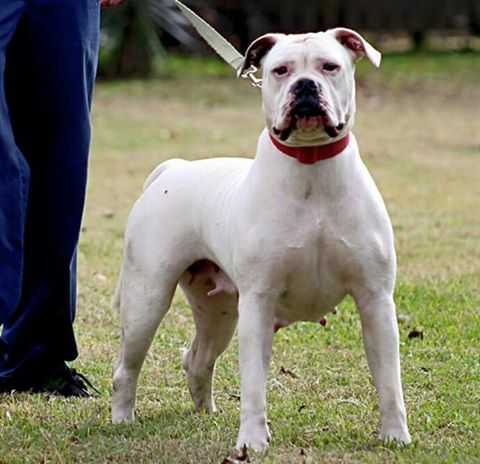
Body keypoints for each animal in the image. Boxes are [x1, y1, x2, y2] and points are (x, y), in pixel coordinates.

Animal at [110, 27, 410, 452]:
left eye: (329, 66)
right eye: (280, 70)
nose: (305, 86)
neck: (312, 168)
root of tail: (173, 170)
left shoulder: (376, 300)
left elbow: (389, 381)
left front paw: (396, 436)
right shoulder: (258, 302)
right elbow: (253, 384)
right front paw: (252, 441)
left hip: (218, 312)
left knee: (197, 358)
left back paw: (205, 411)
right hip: (147, 300)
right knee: (127, 367)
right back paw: (122, 419)